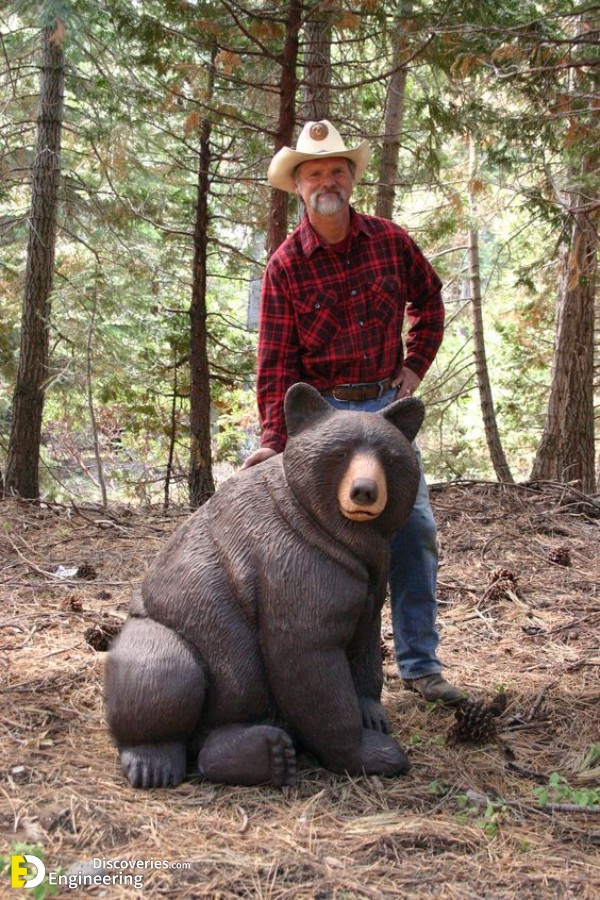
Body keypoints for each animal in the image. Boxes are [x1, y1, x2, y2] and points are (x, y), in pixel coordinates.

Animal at [105, 382, 425, 789]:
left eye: (389, 457)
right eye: (339, 453)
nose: (364, 491)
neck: (339, 533)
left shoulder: (369, 579)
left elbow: (365, 642)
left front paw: (374, 714)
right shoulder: (292, 564)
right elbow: (308, 658)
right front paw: (374, 753)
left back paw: (265, 753)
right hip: (173, 636)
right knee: (164, 672)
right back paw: (155, 763)